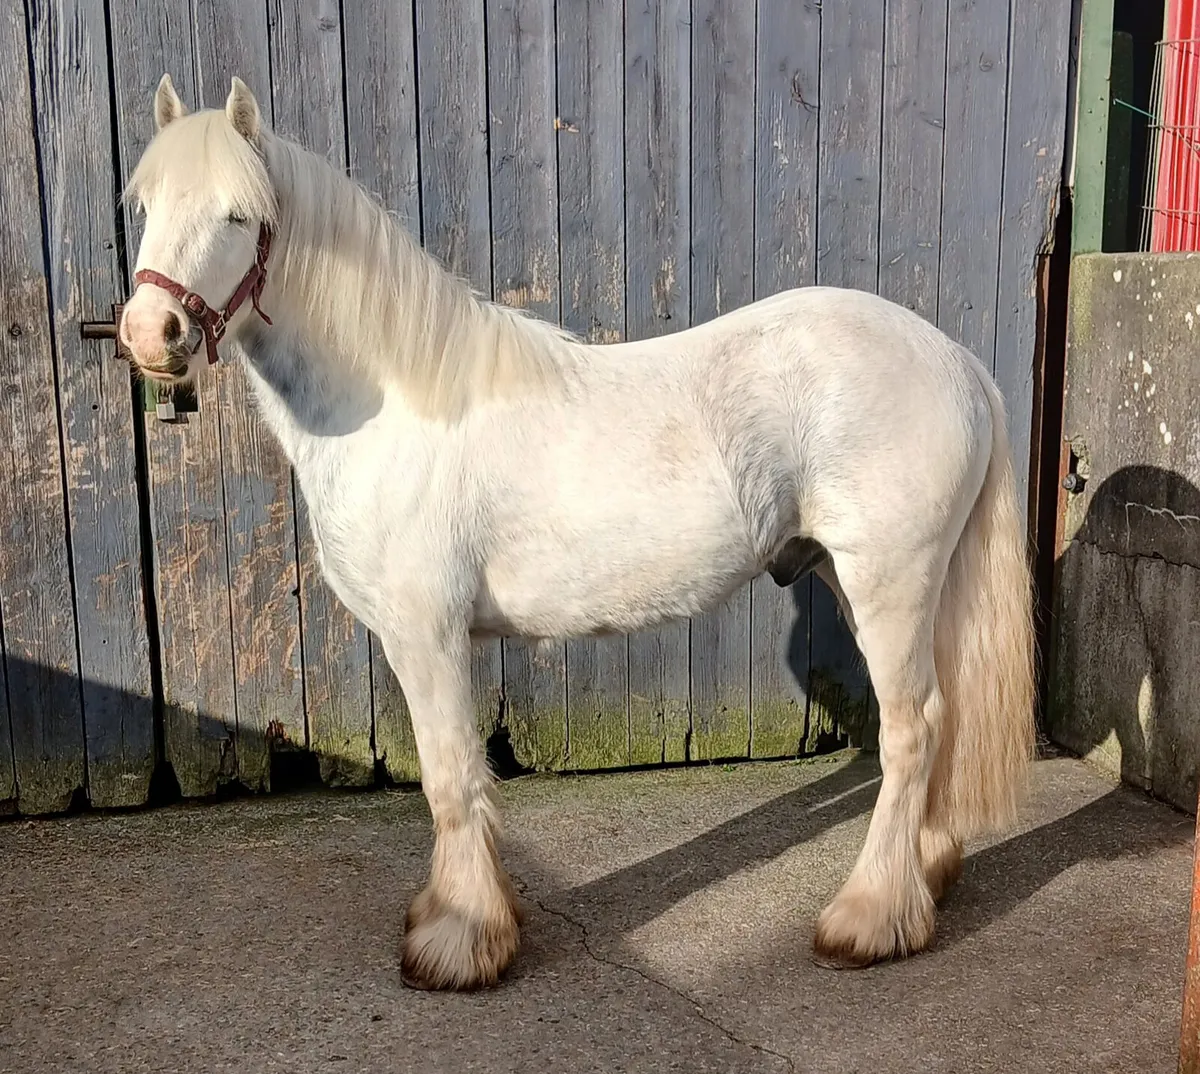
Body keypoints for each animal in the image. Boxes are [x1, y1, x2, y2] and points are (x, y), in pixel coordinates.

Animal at [119, 74, 1035, 991]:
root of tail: (955, 361)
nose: (148, 333)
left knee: (913, 730)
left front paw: (458, 939)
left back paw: (869, 919)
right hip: (862, 580)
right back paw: (928, 872)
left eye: (239, 216)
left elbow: (449, 779)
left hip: (889, 581)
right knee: (939, 719)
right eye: (148, 203)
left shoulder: (426, 634)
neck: (394, 404)